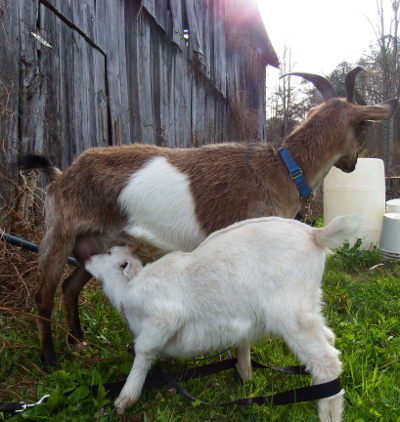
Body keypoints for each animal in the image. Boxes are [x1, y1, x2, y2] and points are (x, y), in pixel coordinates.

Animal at [18, 67, 396, 368]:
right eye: (362, 126)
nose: (353, 164)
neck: (285, 169)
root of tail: (61, 175)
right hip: (59, 231)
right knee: (43, 295)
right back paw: (50, 359)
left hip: (97, 243)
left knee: (70, 287)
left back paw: (77, 342)